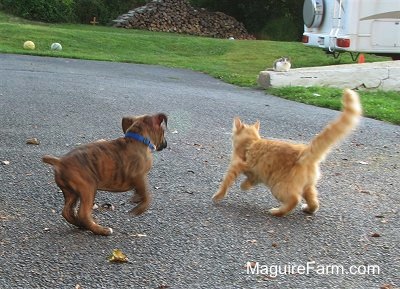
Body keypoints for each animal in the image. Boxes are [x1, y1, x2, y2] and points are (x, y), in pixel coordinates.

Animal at [212, 89, 362, 215]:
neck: (251, 142)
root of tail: (303, 151)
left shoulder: (236, 166)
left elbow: (225, 183)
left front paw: (218, 196)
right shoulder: (256, 174)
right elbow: (250, 180)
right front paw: (244, 186)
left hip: (278, 187)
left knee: (294, 199)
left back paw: (277, 212)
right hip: (308, 187)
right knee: (314, 202)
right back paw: (308, 209)